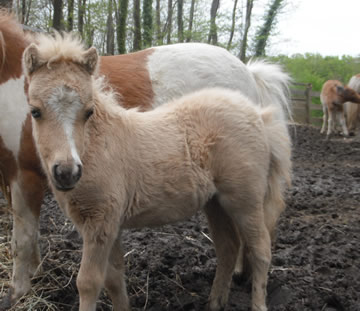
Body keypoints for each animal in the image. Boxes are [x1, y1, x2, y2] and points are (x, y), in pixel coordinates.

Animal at [0, 12, 292, 304]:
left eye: (89, 111)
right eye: (34, 111)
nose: (67, 172)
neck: (101, 144)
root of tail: (257, 113)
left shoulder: (87, 215)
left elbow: (71, 271)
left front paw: (17, 292)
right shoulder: (107, 222)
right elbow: (113, 277)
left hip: (245, 199)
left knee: (261, 249)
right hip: (217, 202)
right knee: (229, 246)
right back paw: (218, 299)